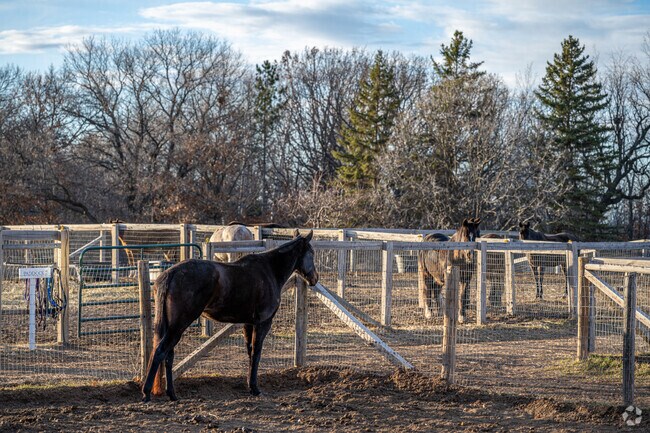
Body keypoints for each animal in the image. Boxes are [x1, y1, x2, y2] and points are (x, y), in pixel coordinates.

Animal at [141, 230, 318, 402]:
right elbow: (256, 353)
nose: (315, 278)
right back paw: (146, 393)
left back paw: (172, 394)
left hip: (173, 327)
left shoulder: (248, 324)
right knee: (160, 352)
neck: (270, 270)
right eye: (312, 253)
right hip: (178, 325)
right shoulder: (263, 323)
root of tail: (171, 273)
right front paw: (255, 388)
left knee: (168, 356)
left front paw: (250, 386)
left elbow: (250, 352)